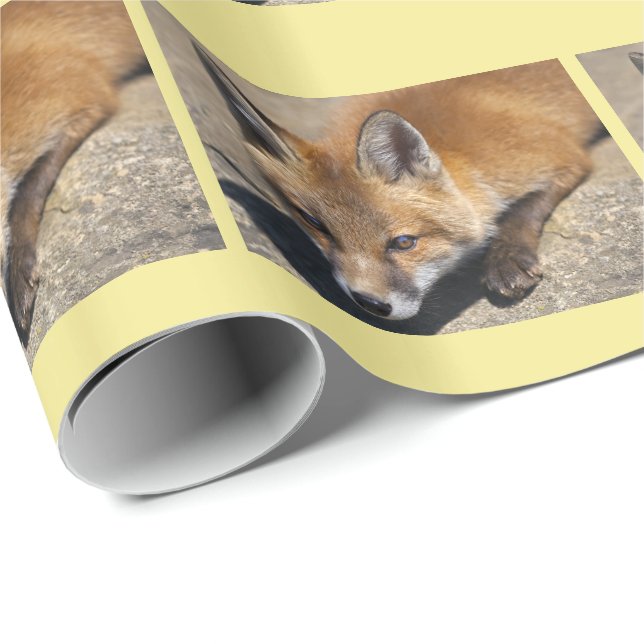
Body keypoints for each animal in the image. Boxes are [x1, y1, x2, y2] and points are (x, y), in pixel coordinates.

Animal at [195, 44, 602, 320]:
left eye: (404, 243)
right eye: (318, 227)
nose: (369, 304)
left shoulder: (559, 155)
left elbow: (522, 210)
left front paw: (506, 258)